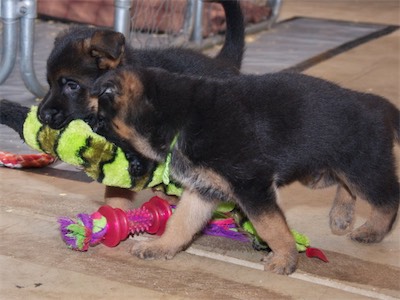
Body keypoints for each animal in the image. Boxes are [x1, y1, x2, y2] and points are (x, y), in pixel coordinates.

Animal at [90, 67, 400, 276]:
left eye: (100, 122)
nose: (89, 130)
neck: (181, 118)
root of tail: (375, 104)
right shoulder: (203, 189)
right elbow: (182, 222)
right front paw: (162, 247)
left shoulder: (252, 186)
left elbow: (270, 225)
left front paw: (285, 258)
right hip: (320, 173)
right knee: (344, 185)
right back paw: (341, 215)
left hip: (362, 167)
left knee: (387, 196)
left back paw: (372, 230)